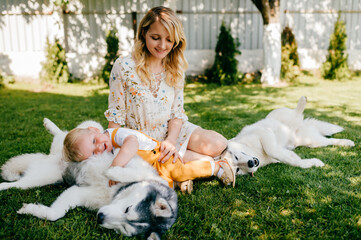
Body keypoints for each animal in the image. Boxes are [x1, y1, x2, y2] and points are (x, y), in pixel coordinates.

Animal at [0, 117, 177, 238]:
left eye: (124, 229)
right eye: (128, 208)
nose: (100, 217)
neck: (114, 192)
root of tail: (57, 156)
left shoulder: (79, 193)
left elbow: (55, 213)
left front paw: (32, 210)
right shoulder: (138, 165)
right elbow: (133, 169)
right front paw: (113, 171)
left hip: (42, 176)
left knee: (20, 184)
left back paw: (4, 186)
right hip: (92, 127)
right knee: (67, 134)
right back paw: (50, 125)